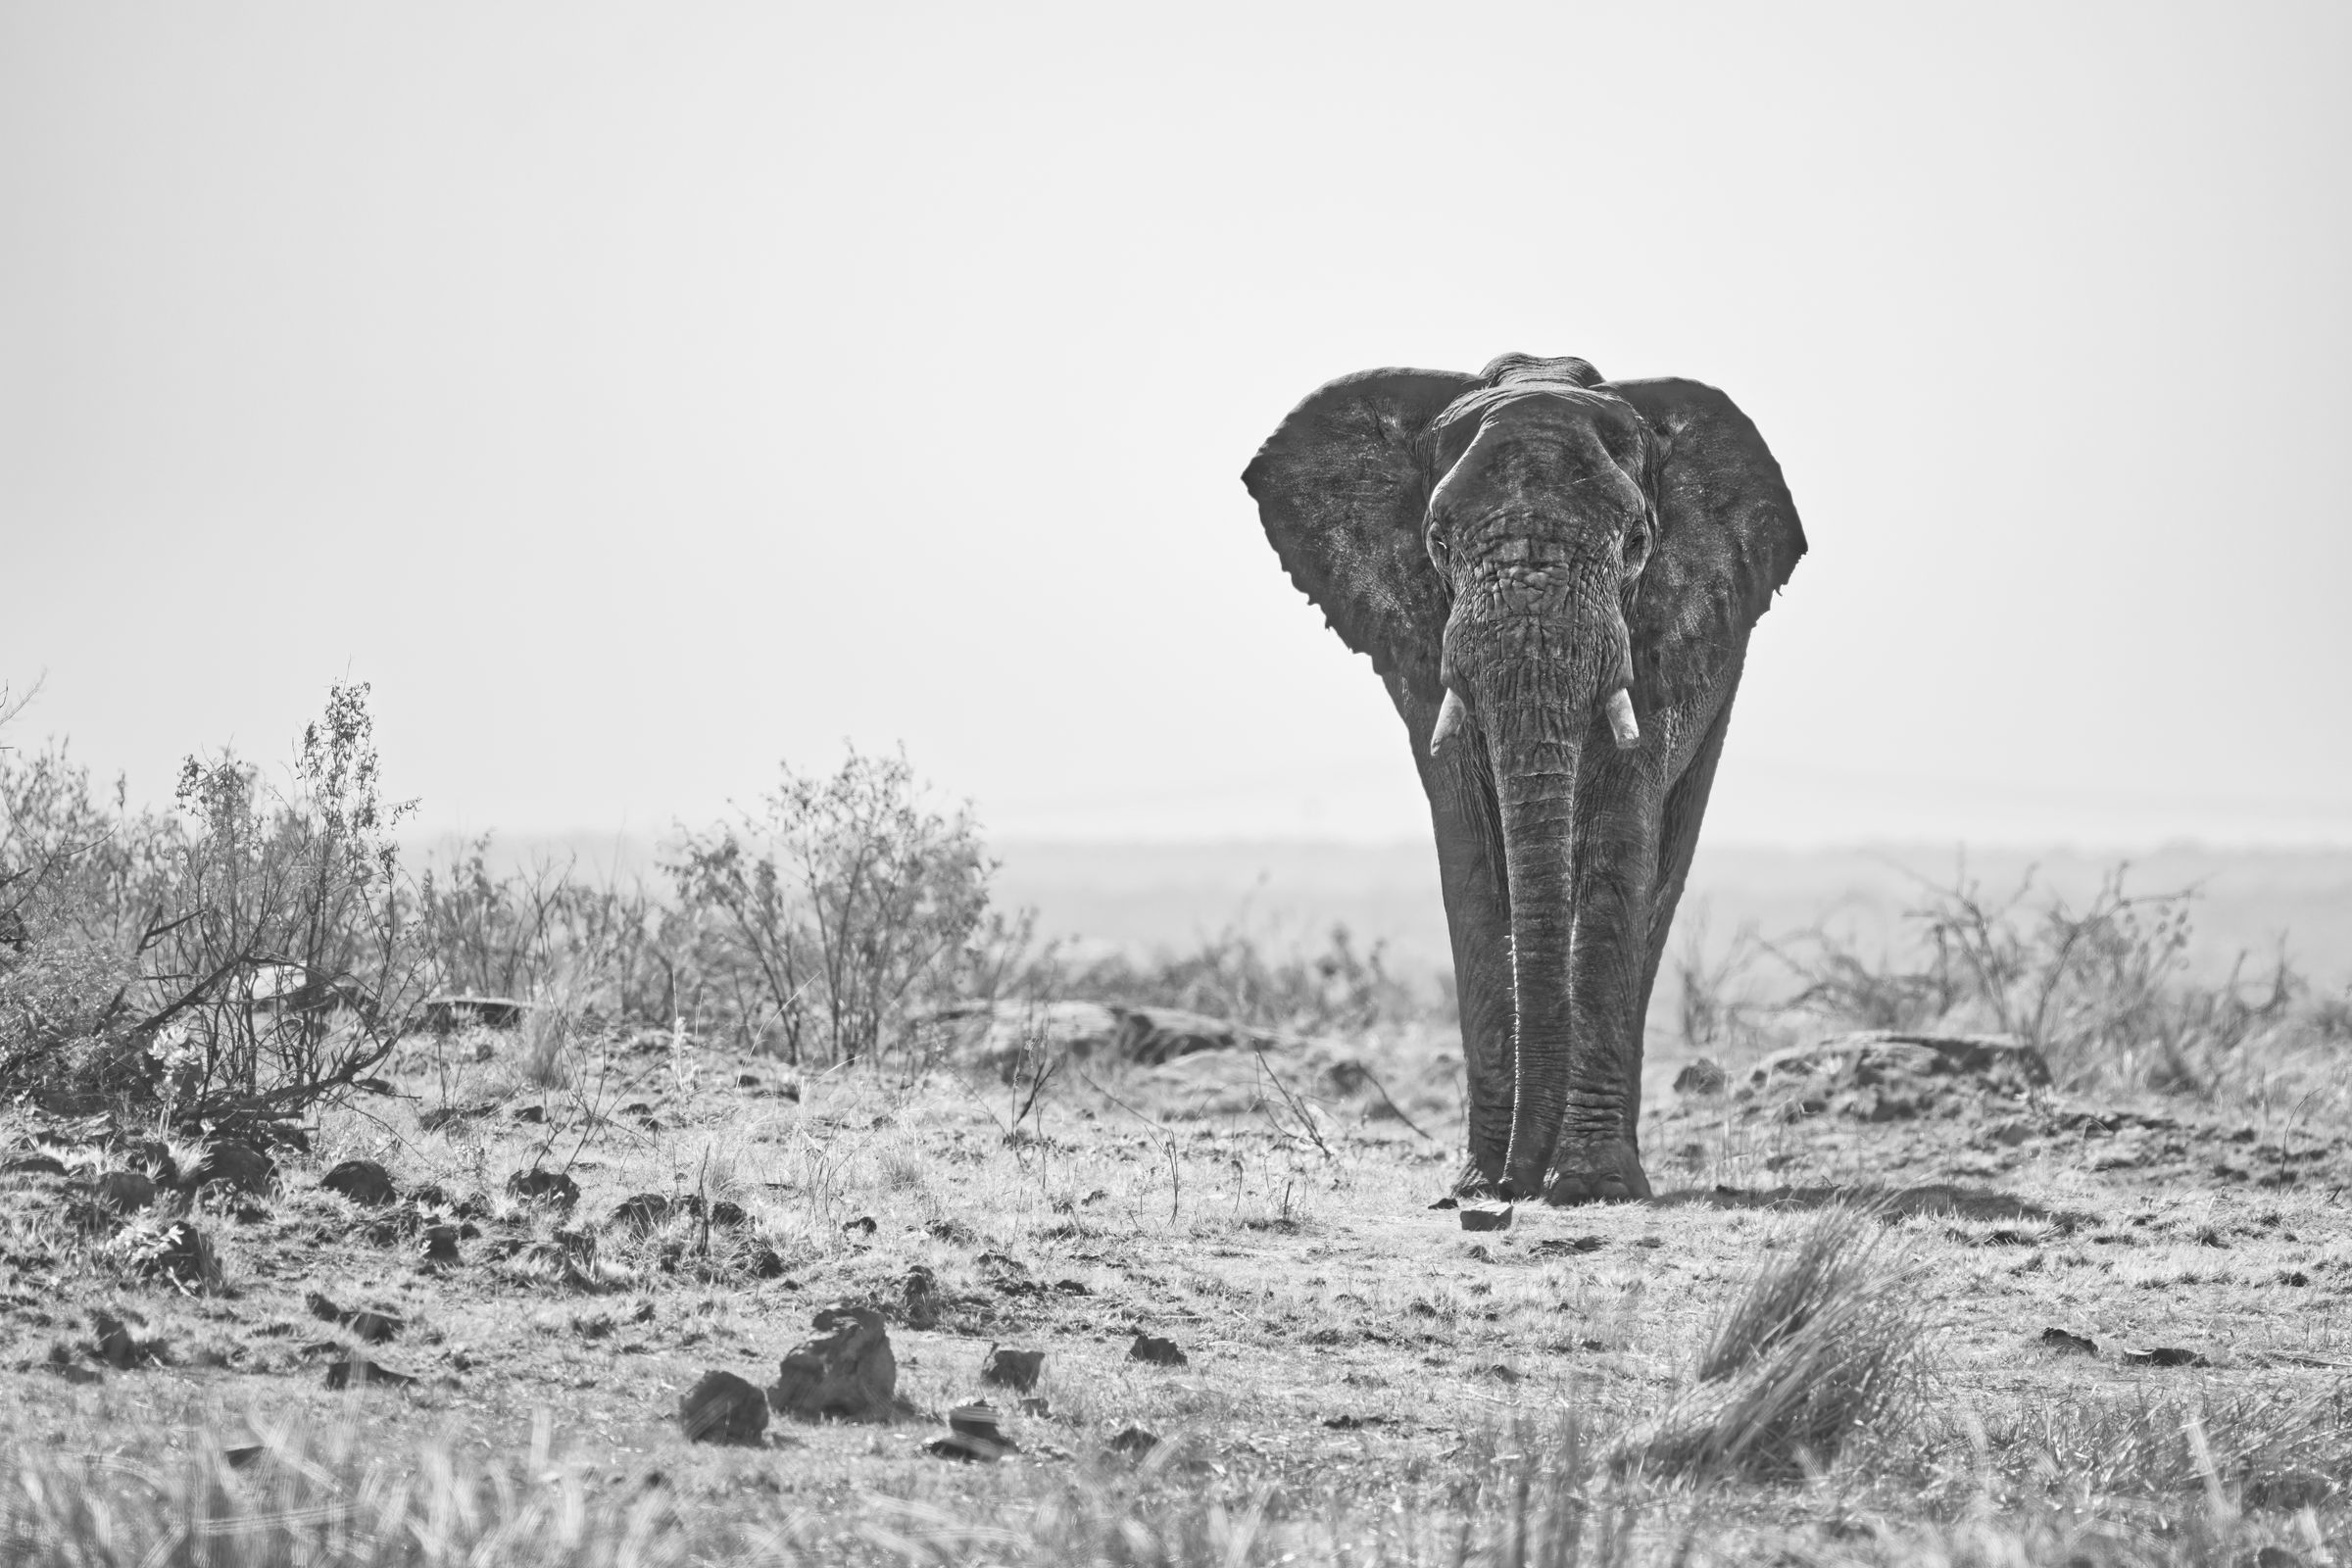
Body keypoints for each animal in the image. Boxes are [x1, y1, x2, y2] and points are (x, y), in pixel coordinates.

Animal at [1250, 352, 1796, 1203]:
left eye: (1638, 539)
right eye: (1436, 539)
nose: (1510, 1193)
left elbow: (1617, 843)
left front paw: (1590, 1187)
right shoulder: (1422, 643)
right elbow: (1474, 850)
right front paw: (1479, 1183)